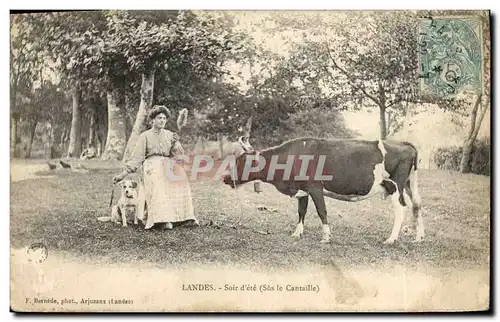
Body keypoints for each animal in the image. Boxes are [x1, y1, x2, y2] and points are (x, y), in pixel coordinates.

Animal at [223, 136, 422, 244]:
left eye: (241, 161)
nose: (225, 178)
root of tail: (405, 144)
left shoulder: (315, 187)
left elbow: (321, 211)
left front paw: (326, 237)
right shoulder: (302, 190)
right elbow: (301, 211)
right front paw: (297, 233)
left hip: (395, 185)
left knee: (402, 209)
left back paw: (391, 239)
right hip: (409, 184)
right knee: (417, 205)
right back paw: (419, 238)